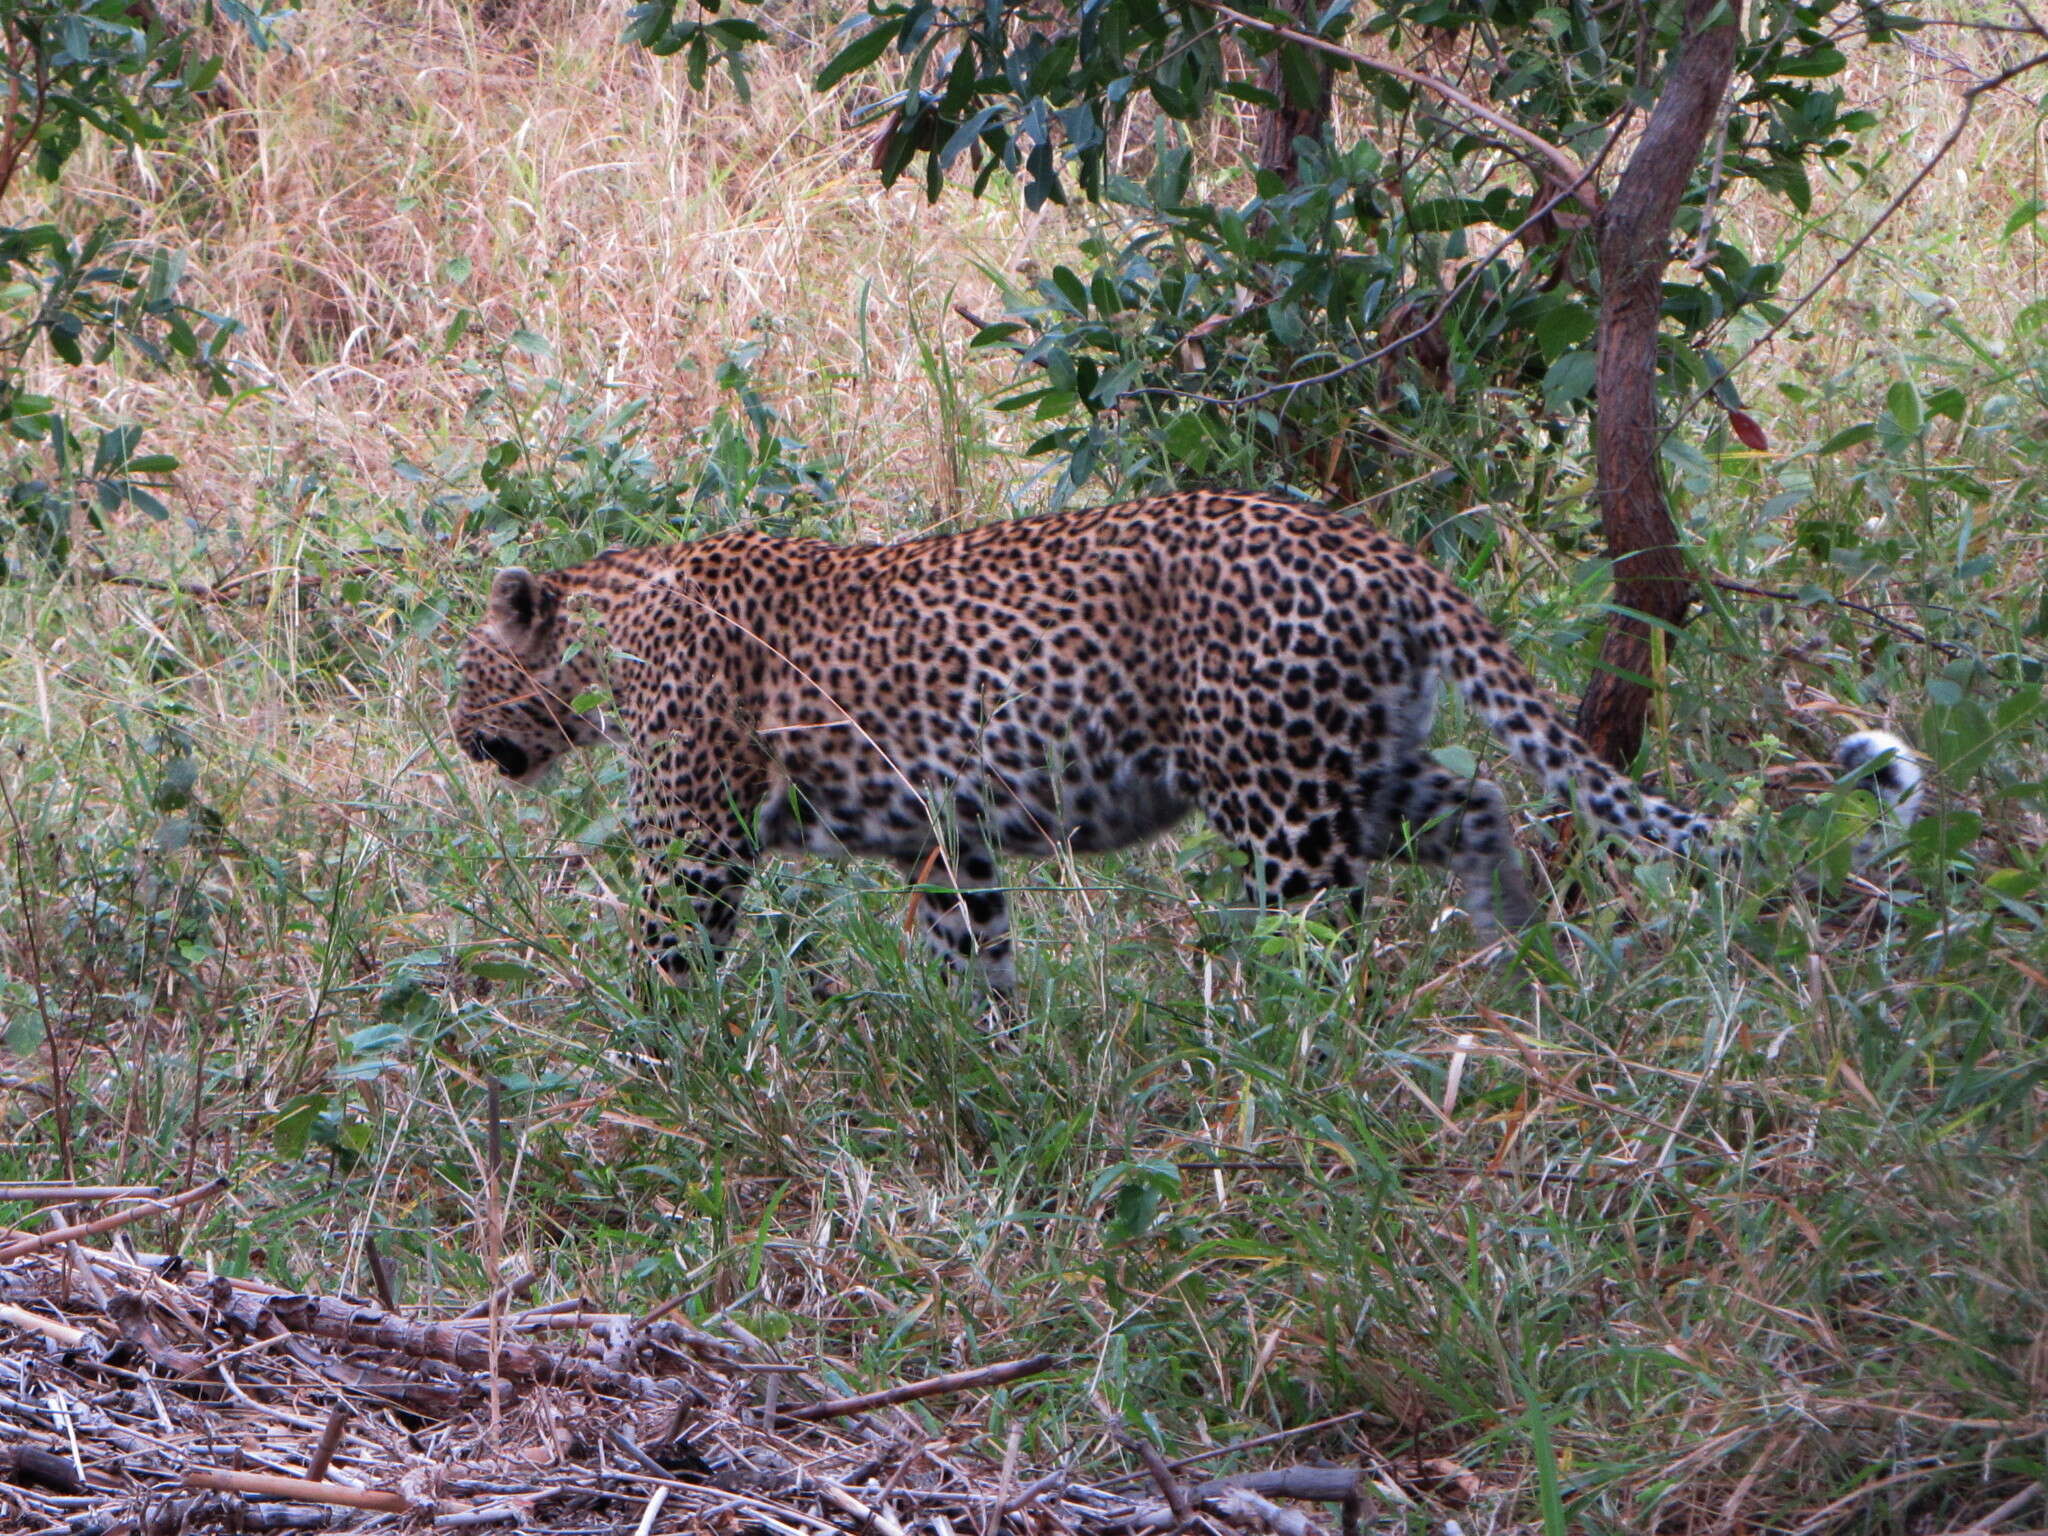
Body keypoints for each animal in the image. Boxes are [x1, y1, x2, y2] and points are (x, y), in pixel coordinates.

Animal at [448, 495, 1916, 999]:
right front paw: (991, 1059)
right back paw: (1512, 959)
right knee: (1480, 807)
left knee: (1319, 939)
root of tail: (1380, 551)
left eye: (465, 667)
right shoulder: (950, 837)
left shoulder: (694, 834)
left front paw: (658, 1056)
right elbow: (971, 954)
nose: (463, 740)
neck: (612, 623)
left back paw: (1294, 1046)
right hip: (1347, 762)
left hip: (1278, 801)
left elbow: (668, 954)